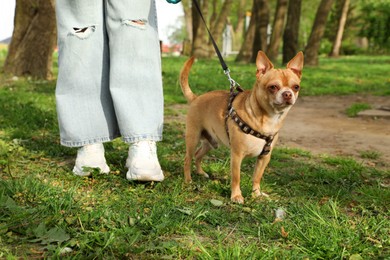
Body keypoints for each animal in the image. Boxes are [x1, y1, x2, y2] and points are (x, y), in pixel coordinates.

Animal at [180, 50, 304, 203]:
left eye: (296, 87)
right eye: (273, 87)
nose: (288, 94)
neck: (268, 118)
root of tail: (196, 98)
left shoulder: (264, 158)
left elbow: (257, 177)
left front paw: (256, 194)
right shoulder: (237, 155)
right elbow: (236, 177)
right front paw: (236, 196)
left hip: (211, 142)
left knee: (198, 155)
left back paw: (201, 173)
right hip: (193, 138)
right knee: (187, 159)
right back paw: (188, 180)